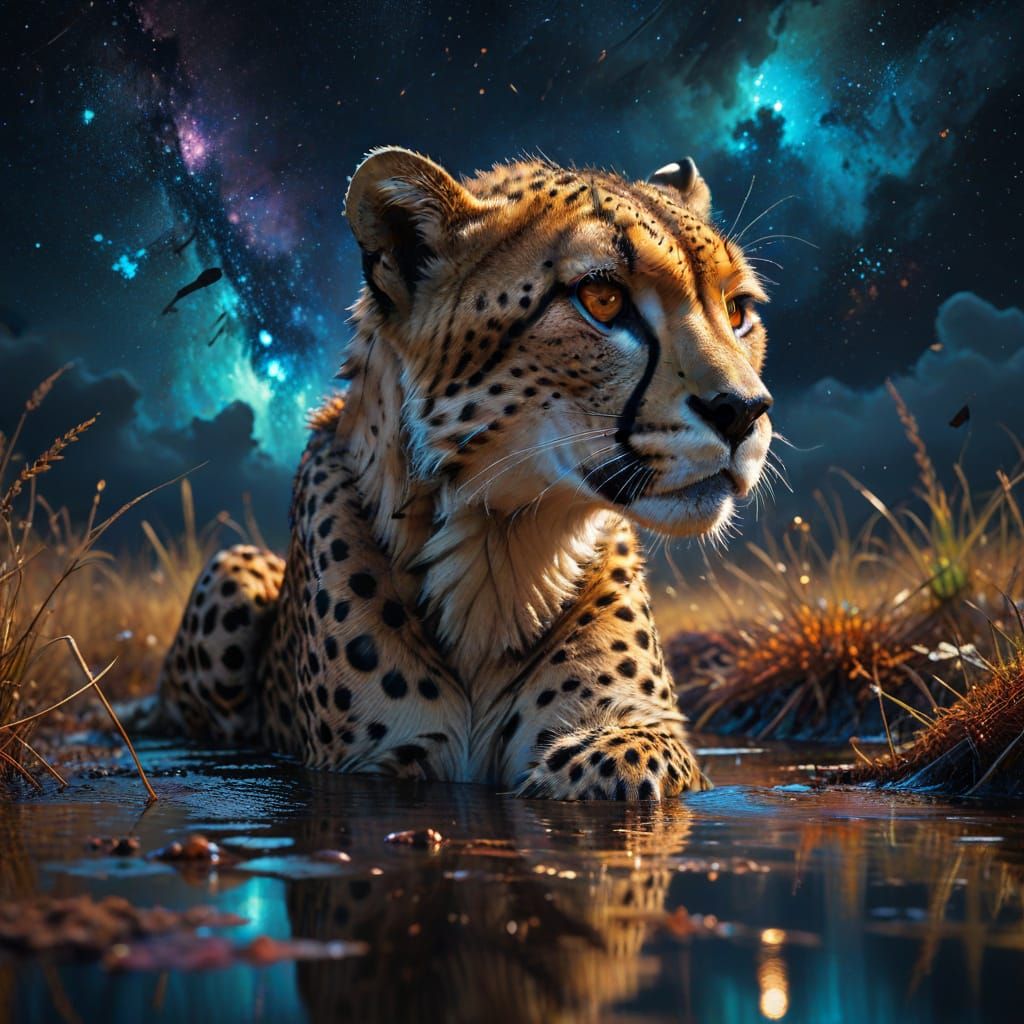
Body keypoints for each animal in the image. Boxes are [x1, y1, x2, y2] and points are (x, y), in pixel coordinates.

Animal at [156, 146, 774, 800]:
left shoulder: (644, 738)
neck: (497, 551)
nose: (745, 411)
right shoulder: (366, 771)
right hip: (231, 567)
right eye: (602, 299)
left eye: (737, 310)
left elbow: (622, 761)